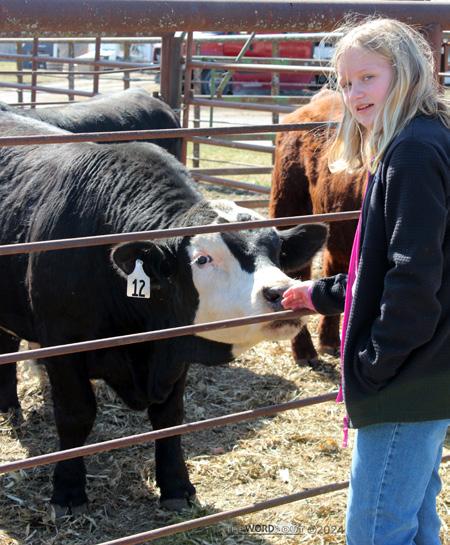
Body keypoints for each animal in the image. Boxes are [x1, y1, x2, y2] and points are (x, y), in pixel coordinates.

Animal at [0, 112, 328, 516]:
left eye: (278, 252)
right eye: (202, 259)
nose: (281, 292)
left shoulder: (173, 346)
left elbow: (170, 418)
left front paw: (176, 486)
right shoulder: (62, 344)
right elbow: (76, 414)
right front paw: (69, 491)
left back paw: (9, 407)